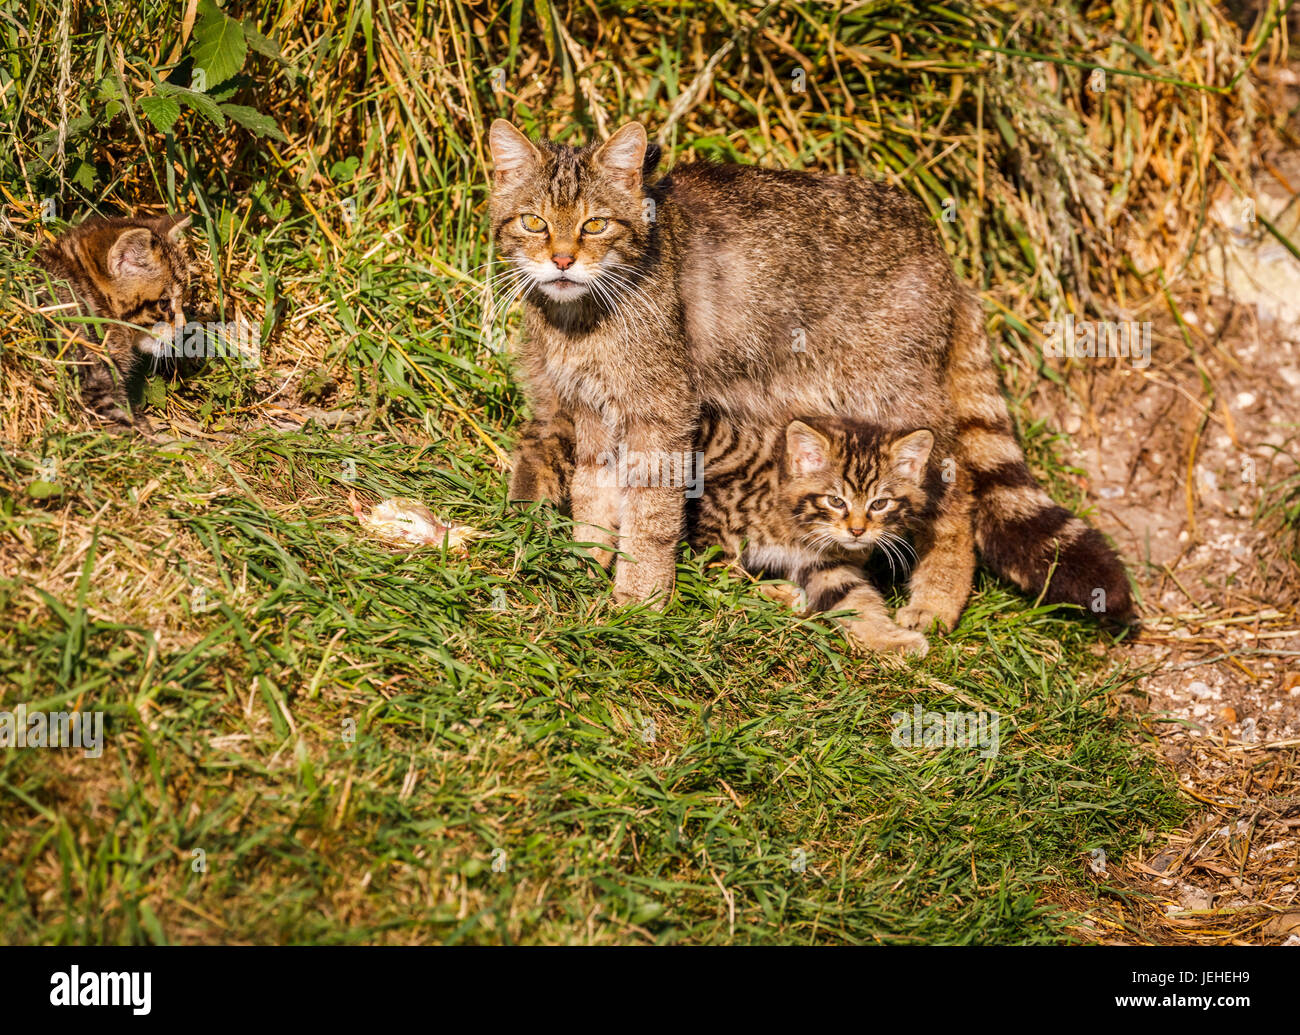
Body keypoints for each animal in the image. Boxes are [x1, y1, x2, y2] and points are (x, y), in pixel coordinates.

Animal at [491, 117, 1133, 626]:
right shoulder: (592, 410)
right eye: (533, 222)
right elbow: (593, 494)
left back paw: (937, 601)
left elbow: (650, 517)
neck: (578, 321)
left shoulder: (662, 412)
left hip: (894, 404)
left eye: (595, 225)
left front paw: (639, 600)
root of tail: (947, 262)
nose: (563, 259)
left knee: (957, 495)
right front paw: (587, 559)